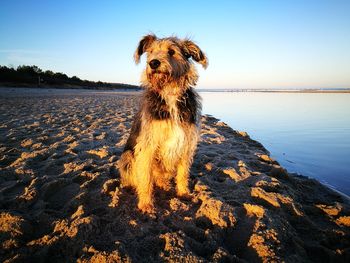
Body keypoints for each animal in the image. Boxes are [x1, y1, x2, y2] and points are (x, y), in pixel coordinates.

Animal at [117, 34, 206, 214]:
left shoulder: (186, 144)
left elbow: (183, 173)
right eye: (150, 52)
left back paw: (164, 184)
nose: (153, 63)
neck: (169, 92)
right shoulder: (147, 145)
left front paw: (183, 193)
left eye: (171, 51)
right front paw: (145, 204)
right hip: (127, 156)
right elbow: (145, 178)